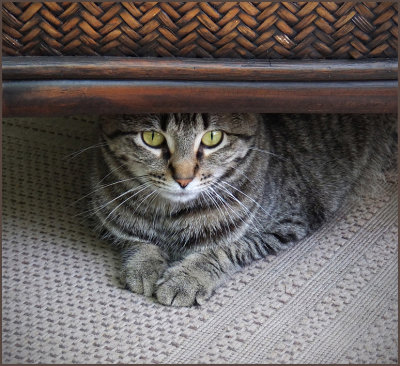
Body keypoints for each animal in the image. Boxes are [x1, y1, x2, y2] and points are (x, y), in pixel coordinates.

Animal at [91, 113, 396, 306]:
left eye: (213, 137)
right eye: (152, 137)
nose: (183, 178)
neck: (172, 214)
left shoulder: (288, 223)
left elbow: (224, 249)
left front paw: (185, 280)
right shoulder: (106, 216)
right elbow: (135, 239)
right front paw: (144, 265)